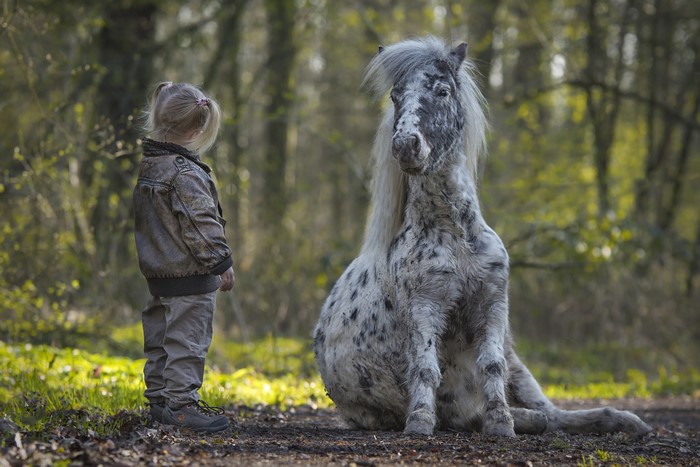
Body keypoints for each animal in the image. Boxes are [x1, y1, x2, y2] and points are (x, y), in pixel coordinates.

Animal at [312, 37, 651, 437]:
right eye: (395, 96)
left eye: (442, 91)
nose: (406, 145)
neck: (454, 234)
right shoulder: (425, 307)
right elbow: (425, 368)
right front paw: (420, 423)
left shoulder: (492, 305)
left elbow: (492, 366)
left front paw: (502, 423)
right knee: (519, 416)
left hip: (518, 362)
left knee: (551, 412)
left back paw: (624, 421)